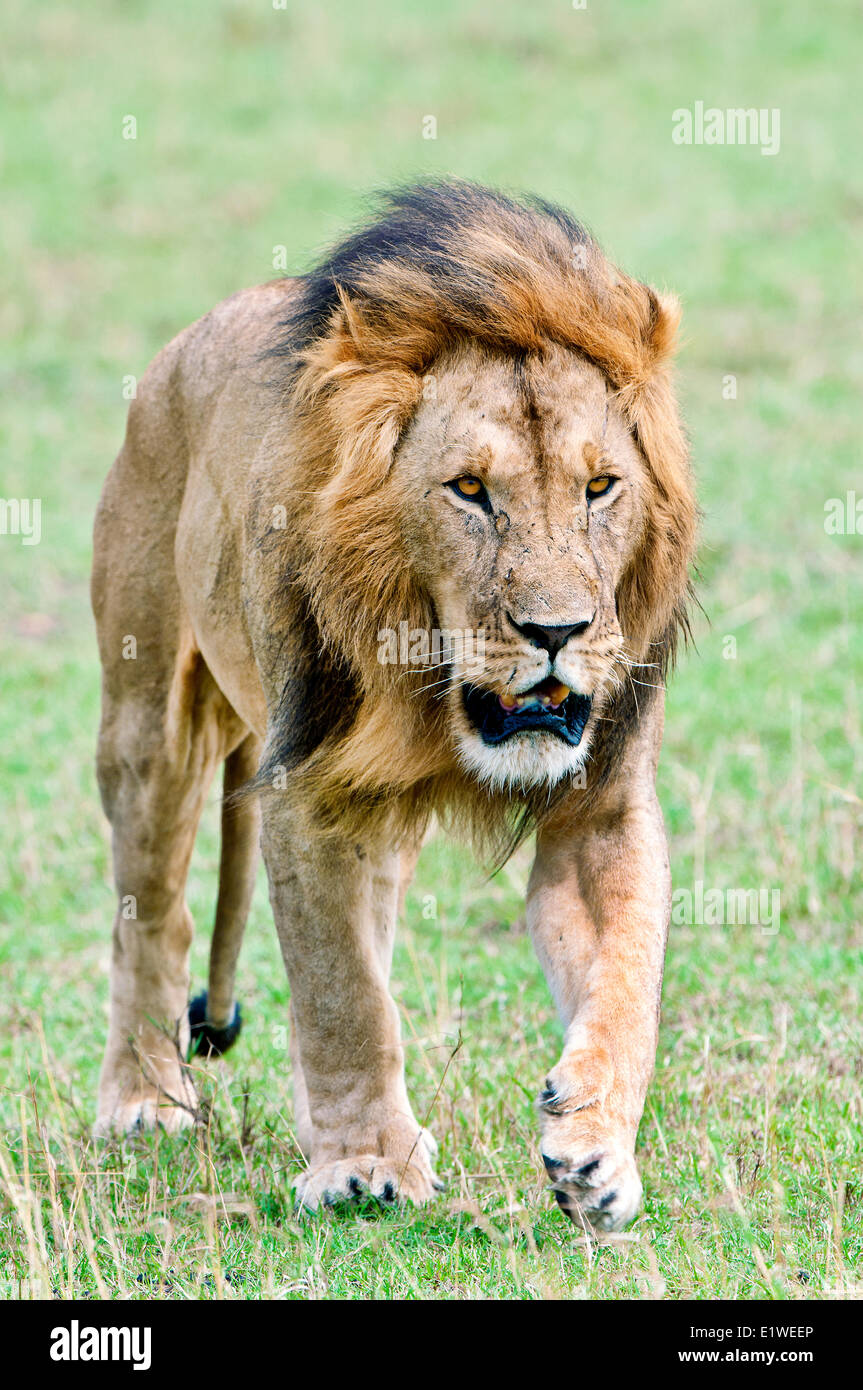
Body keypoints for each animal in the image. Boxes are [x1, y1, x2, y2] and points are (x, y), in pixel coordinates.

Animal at [91, 179, 697, 1234]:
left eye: (599, 486)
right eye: (469, 490)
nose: (557, 630)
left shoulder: (603, 803)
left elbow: (629, 977)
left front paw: (595, 1151)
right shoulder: (305, 795)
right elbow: (345, 997)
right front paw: (363, 1167)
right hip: (147, 723)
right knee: (152, 917)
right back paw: (145, 1101)